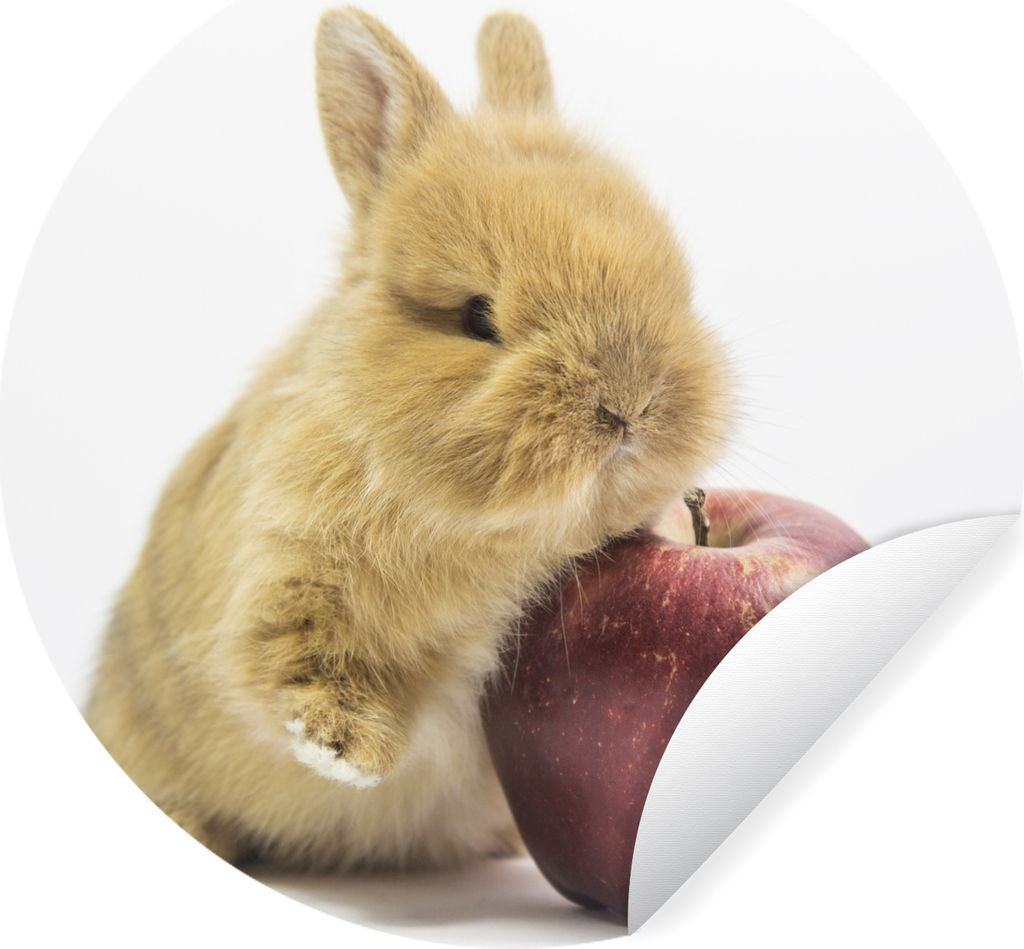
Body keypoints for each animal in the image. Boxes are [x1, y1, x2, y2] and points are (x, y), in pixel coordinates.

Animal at [86, 7, 732, 871]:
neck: (499, 539)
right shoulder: (281, 575)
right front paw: (351, 751)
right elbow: (281, 664)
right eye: (476, 317)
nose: (630, 405)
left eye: (672, 280)